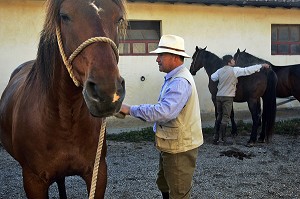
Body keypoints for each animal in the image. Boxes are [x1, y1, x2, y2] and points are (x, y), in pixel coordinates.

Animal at [0, 0, 126, 198]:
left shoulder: (98, 174)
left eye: (118, 18)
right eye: (64, 16)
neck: (65, 119)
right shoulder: (33, 181)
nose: (108, 92)